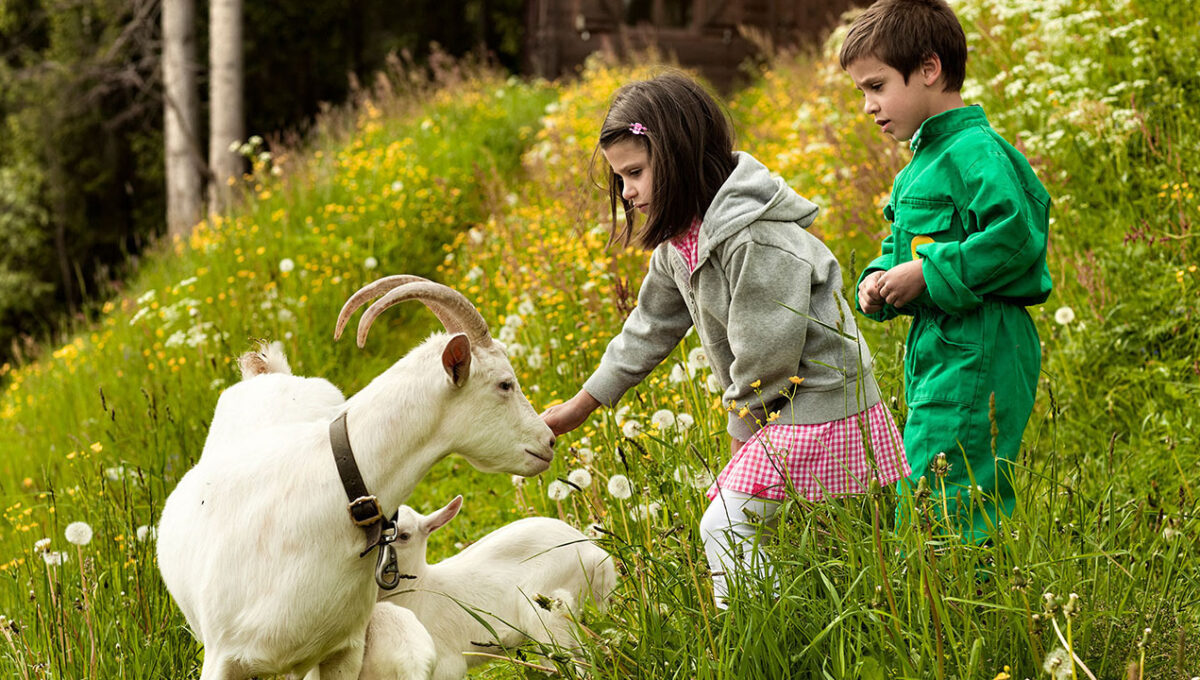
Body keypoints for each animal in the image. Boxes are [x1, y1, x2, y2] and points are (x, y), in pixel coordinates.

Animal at [153, 277, 556, 680]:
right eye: (505, 384)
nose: (549, 440)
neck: (326, 501)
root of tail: (268, 372)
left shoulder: (343, 649)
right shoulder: (221, 657)